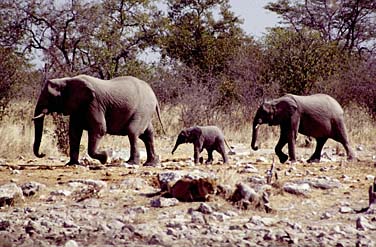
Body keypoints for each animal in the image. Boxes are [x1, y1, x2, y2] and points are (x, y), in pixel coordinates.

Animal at [34, 73, 164, 166]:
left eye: (50, 97)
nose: (43, 154)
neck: (67, 80)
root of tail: (154, 95)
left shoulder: (94, 103)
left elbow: (99, 129)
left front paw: (105, 158)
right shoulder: (79, 107)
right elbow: (74, 132)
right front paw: (72, 164)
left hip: (142, 109)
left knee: (133, 132)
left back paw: (131, 163)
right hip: (145, 111)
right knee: (147, 135)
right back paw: (151, 164)